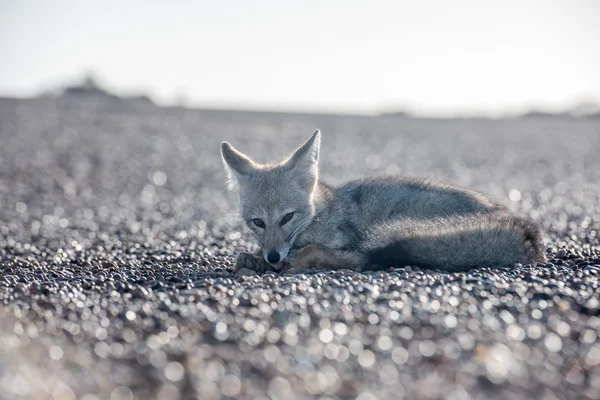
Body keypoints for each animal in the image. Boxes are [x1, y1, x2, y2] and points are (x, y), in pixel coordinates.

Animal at [219, 130, 544, 274]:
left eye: (288, 217)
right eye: (258, 223)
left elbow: (330, 252)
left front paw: (282, 259)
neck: (320, 214)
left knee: (364, 259)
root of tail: (515, 222)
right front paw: (254, 259)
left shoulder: (343, 239)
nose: (273, 256)